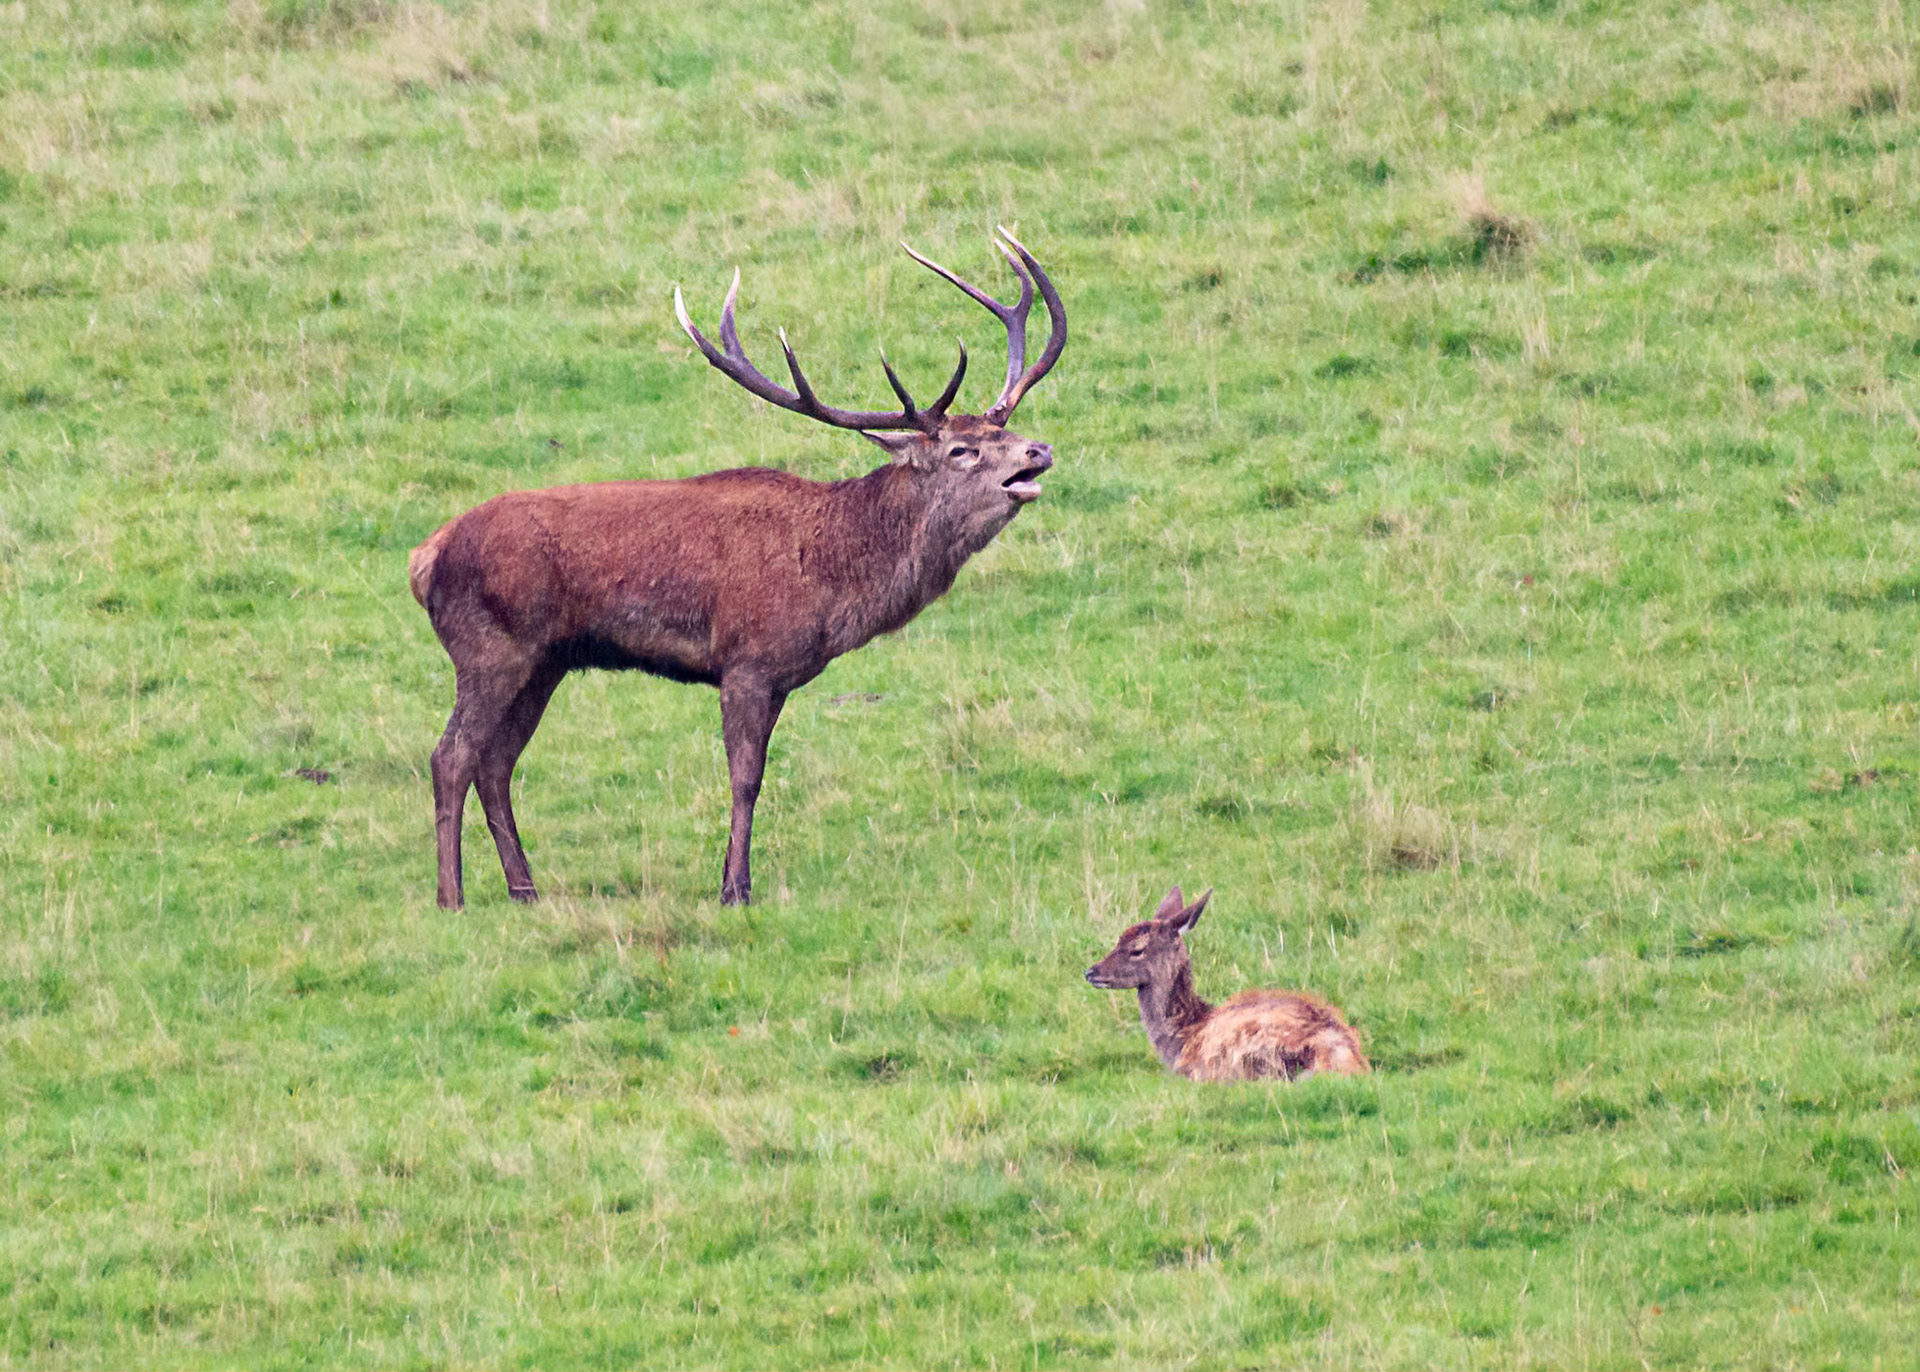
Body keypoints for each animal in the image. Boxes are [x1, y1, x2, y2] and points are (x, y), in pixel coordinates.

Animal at [409, 229, 1065, 909]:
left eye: (1004, 430)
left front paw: (731, 878)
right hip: (489, 647)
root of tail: (424, 559)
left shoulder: (780, 677)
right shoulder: (746, 660)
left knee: (496, 762)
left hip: (545, 660)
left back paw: (525, 889)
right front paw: (734, 889)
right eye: (963, 450)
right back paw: (451, 897)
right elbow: (746, 777)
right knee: (450, 756)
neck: (831, 579)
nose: (1039, 450)